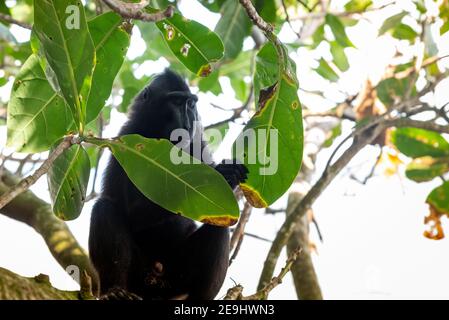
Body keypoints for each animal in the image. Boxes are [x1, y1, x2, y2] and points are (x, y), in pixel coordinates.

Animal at [89, 69, 247, 300]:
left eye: (191, 104)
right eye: (176, 102)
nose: (189, 120)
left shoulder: (196, 139)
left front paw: (230, 174)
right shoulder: (127, 141)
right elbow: (133, 212)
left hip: (177, 277)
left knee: (219, 222)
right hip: (139, 275)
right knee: (104, 207)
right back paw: (114, 291)